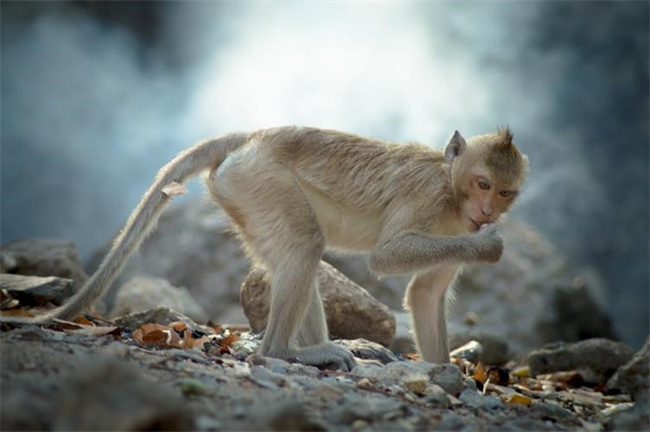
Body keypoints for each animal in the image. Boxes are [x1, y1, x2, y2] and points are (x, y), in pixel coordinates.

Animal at [0, 125, 528, 372]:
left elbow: (425, 294)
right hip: (261, 179)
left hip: (243, 194)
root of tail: (254, 135)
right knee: (306, 246)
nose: (488, 212)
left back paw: (316, 349)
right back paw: (284, 354)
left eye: (504, 192)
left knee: (296, 253)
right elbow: (386, 257)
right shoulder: (426, 197)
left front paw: (445, 373)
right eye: (482, 183)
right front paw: (489, 246)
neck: (451, 189)